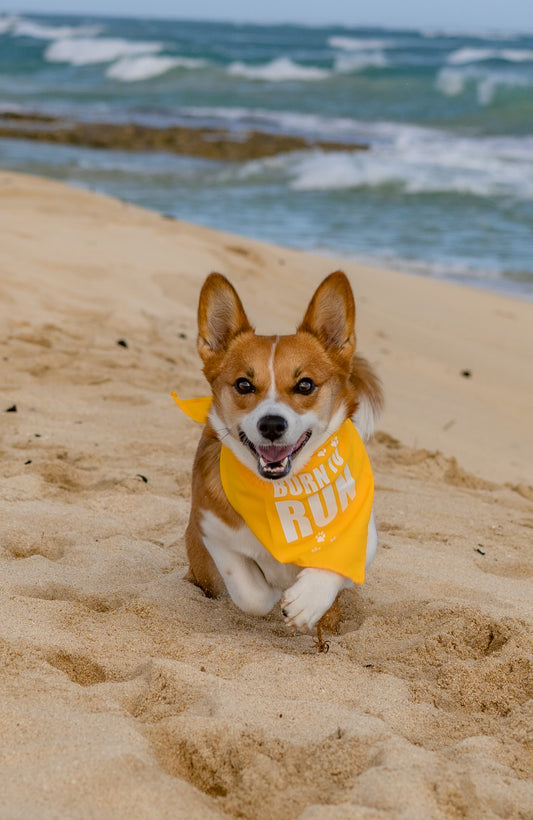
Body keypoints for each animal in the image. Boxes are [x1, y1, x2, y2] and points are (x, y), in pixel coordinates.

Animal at [183, 270, 382, 636]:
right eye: (244, 384)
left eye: (305, 385)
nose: (272, 425)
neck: (284, 492)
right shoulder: (210, 529)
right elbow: (253, 594)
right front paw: (277, 592)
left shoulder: (363, 534)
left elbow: (337, 565)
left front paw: (308, 600)